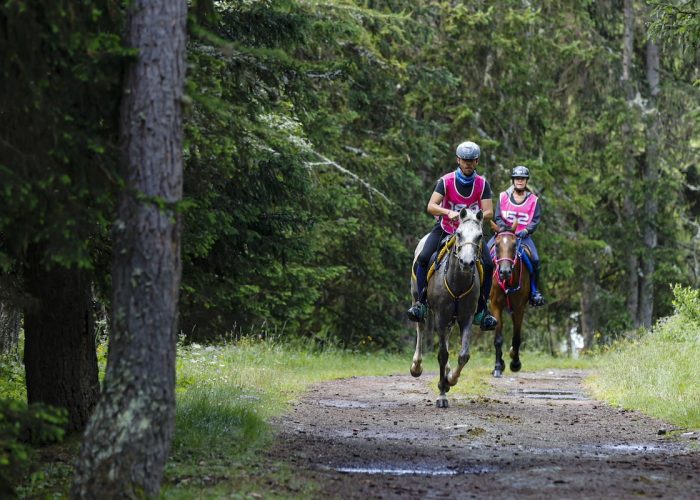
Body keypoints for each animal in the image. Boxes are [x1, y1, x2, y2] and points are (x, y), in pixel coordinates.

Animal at [408, 206, 484, 406]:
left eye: (479, 236)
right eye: (459, 233)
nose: (467, 262)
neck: (458, 281)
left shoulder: (466, 316)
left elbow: (464, 355)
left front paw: (450, 380)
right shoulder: (440, 316)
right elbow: (442, 354)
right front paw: (442, 393)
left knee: (448, 335)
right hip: (416, 297)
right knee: (420, 327)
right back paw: (416, 366)